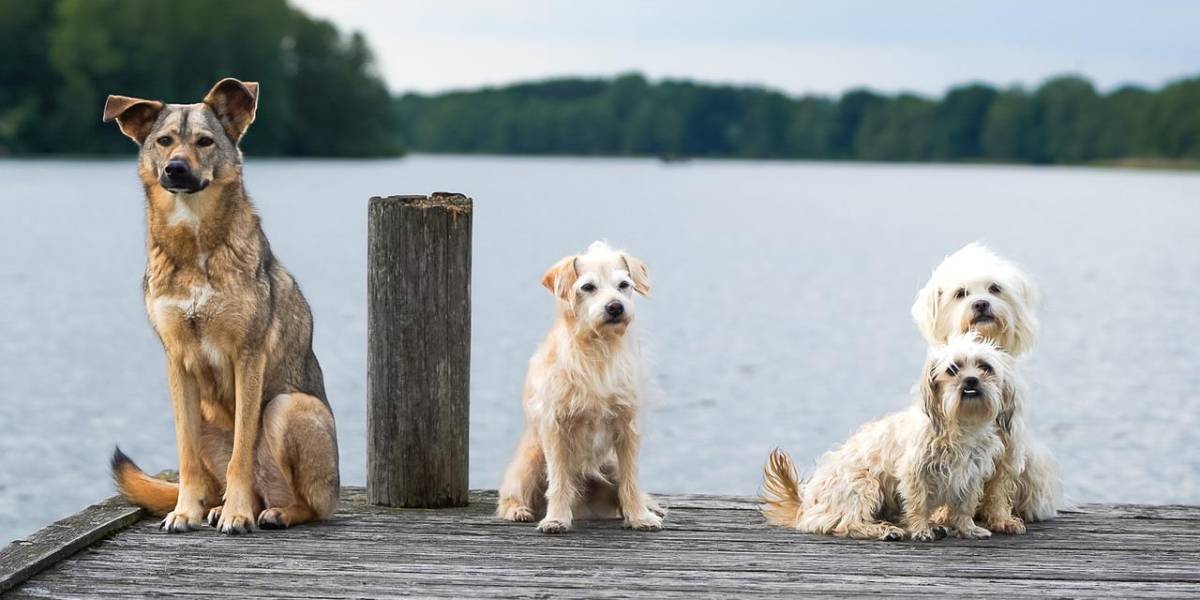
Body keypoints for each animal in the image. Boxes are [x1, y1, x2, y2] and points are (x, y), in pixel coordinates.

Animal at [102, 79, 343, 535]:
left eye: (205, 141)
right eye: (163, 141)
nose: (175, 169)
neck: (194, 242)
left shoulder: (247, 356)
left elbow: (241, 454)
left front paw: (237, 514)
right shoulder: (177, 361)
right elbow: (186, 457)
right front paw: (185, 511)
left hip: (290, 408)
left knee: (308, 503)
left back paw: (272, 513)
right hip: (207, 416)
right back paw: (216, 507)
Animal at [496, 241, 667, 532]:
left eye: (624, 285)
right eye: (588, 287)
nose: (615, 307)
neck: (599, 347)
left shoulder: (628, 426)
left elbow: (631, 480)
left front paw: (639, 516)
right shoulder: (555, 428)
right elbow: (559, 480)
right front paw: (556, 518)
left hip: (609, 464)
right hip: (529, 463)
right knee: (511, 493)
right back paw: (518, 510)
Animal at [763, 336, 1008, 542]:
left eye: (985, 367)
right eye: (953, 369)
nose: (971, 380)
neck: (961, 423)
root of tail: (806, 505)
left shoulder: (971, 474)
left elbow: (965, 506)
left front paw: (967, 528)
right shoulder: (914, 472)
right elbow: (918, 503)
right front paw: (921, 530)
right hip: (864, 483)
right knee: (844, 523)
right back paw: (885, 530)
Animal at [912, 241, 1056, 532]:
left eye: (994, 288)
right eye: (961, 293)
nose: (980, 303)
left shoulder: (1009, 444)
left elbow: (1000, 486)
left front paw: (1002, 519)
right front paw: (943, 515)